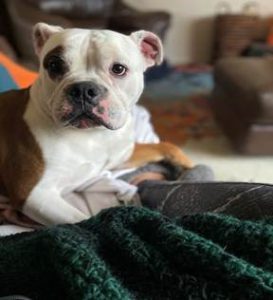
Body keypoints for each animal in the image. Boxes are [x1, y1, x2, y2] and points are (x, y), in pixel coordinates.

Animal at [0, 23, 191, 225]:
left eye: (119, 69)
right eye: (54, 65)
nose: (83, 89)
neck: (92, 134)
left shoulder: (123, 155)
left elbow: (166, 146)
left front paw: (188, 165)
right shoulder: (34, 194)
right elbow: (83, 221)